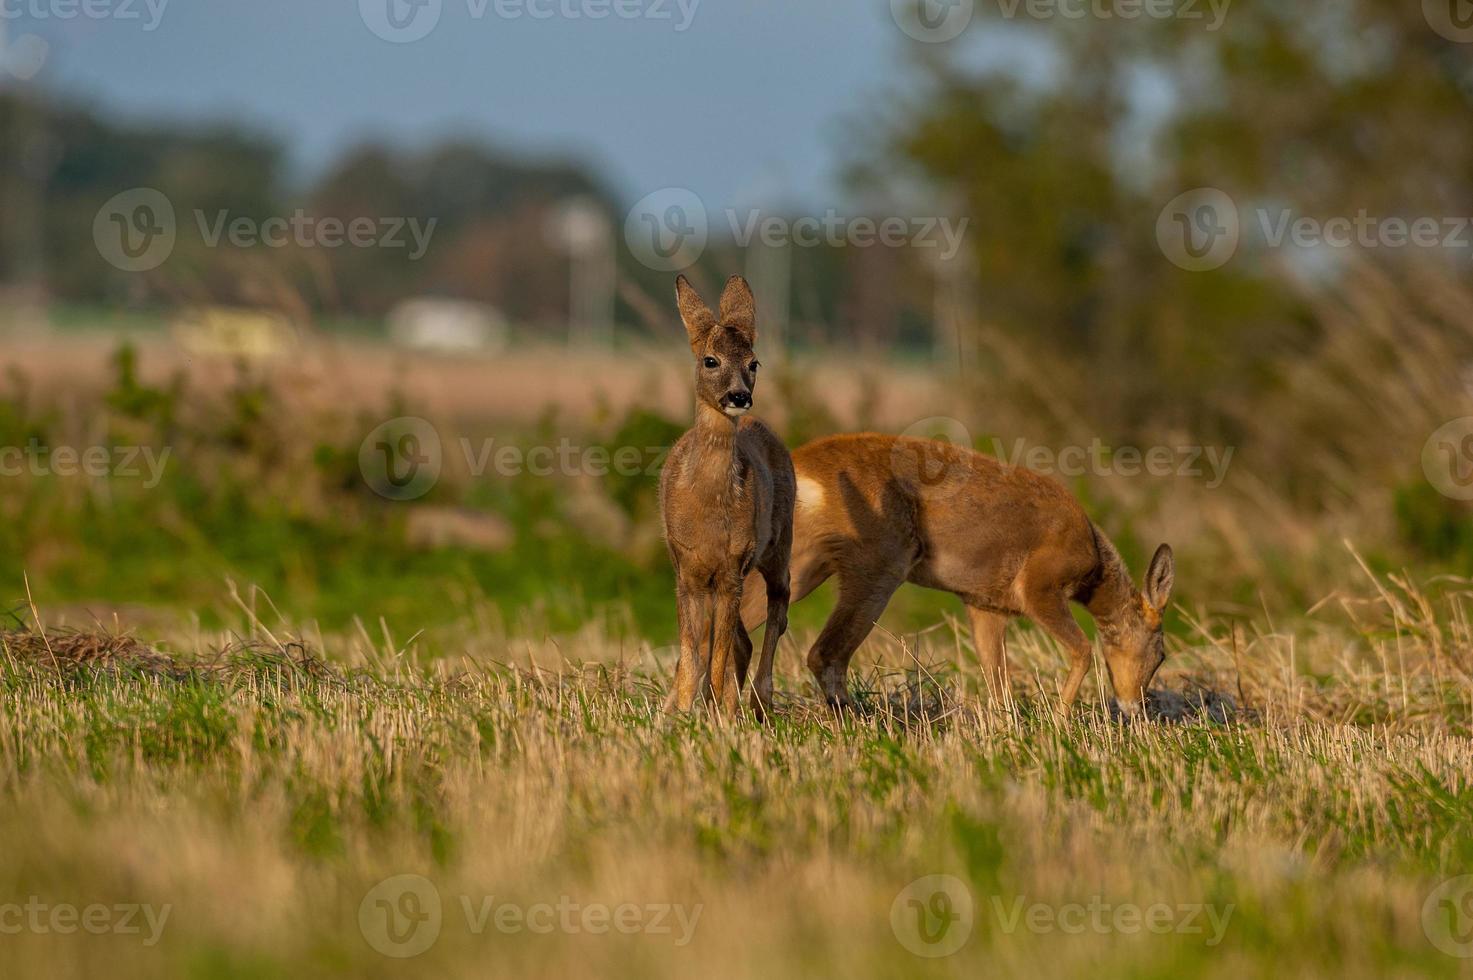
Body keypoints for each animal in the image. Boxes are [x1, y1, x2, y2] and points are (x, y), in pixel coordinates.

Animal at [659, 277, 795, 719]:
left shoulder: (732, 566)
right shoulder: (687, 570)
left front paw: (716, 712)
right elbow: (692, 650)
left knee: (779, 608)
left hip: (778, 544)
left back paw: (758, 699)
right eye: (710, 360)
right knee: (742, 639)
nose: (738, 397)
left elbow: (715, 653)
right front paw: (681, 711)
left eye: (754, 363)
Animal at [742, 433, 1178, 716]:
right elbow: (1082, 650)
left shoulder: (985, 604)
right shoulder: (1039, 586)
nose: (1135, 707)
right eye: (1162, 653)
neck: (1093, 560)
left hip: (802, 561)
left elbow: (997, 680)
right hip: (879, 561)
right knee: (823, 653)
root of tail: (802, 467)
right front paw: (1058, 722)